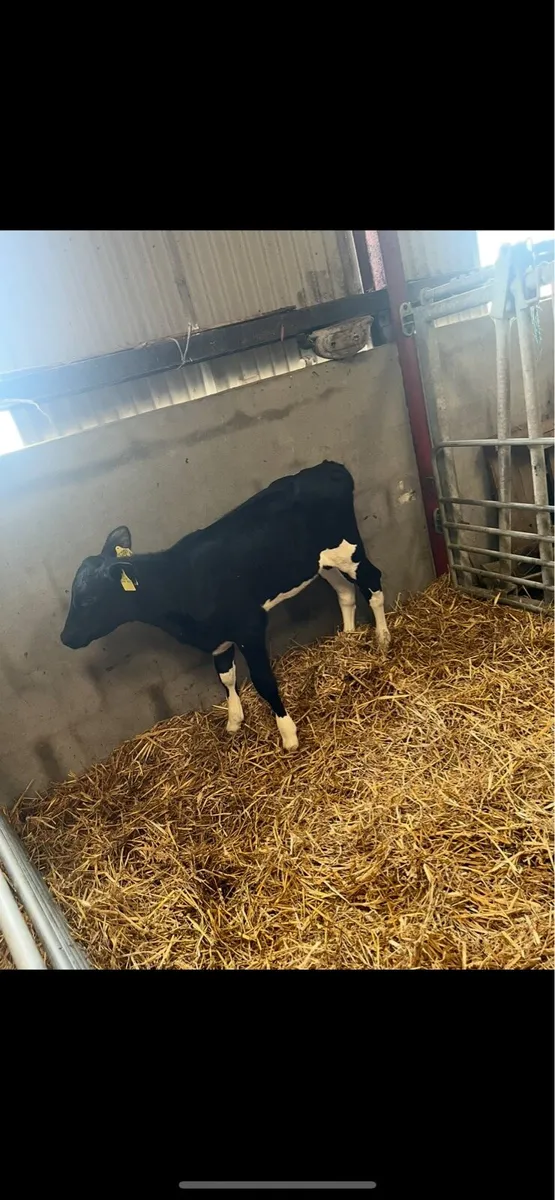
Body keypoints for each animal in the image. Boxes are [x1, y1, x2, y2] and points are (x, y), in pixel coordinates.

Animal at [60, 461, 390, 752]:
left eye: (88, 599)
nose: (66, 637)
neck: (179, 582)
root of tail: (328, 467)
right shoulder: (217, 637)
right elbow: (225, 676)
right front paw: (234, 720)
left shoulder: (249, 626)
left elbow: (263, 680)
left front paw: (288, 734)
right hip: (322, 563)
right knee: (345, 592)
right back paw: (347, 640)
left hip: (349, 551)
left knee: (373, 583)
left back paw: (383, 638)